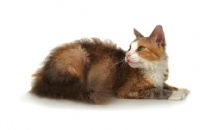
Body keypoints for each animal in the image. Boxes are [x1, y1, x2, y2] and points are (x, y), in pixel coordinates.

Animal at [30, 24, 189, 103]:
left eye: (141, 48)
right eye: (129, 48)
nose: (126, 55)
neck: (153, 67)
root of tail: (42, 76)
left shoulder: (160, 80)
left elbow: (166, 85)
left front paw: (181, 89)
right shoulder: (127, 90)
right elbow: (157, 91)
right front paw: (176, 94)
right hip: (78, 54)